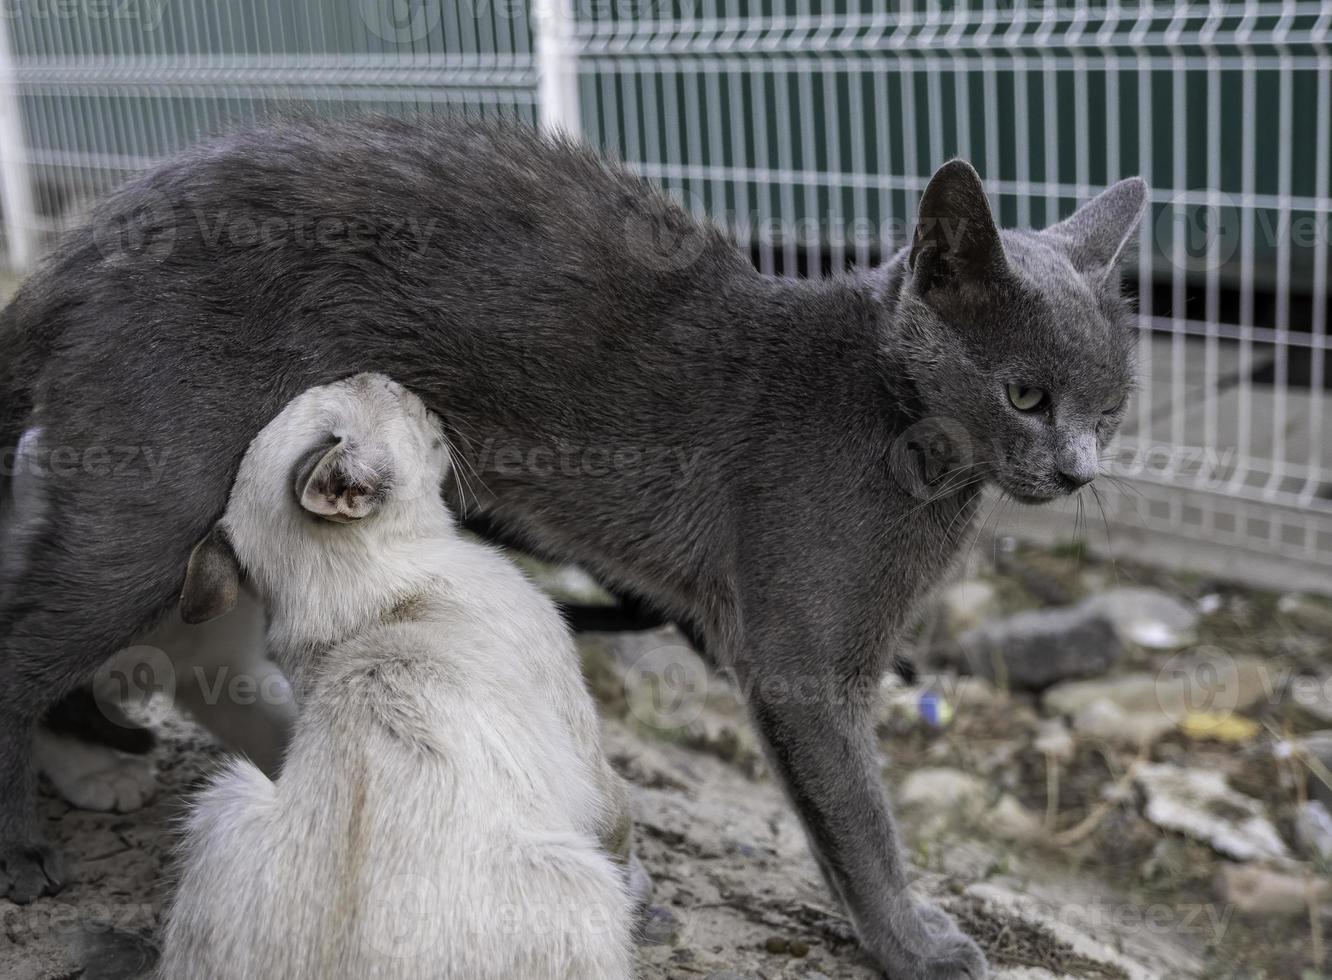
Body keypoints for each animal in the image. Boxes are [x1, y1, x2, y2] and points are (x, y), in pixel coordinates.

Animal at [155, 372, 634, 980]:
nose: (380, 374)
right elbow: (620, 817)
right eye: (380, 396)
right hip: (583, 879)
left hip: (226, 796)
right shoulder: (573, 713)